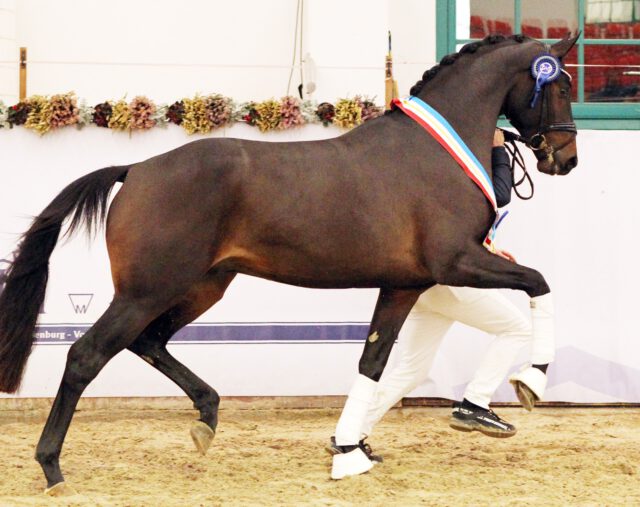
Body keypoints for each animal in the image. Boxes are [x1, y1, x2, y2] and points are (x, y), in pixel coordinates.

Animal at [0, 33, 578, 492]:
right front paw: (533, 381)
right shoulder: (457, 262)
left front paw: (350, 453)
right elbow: (539, 282)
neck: (435, 151)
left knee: (149, 341)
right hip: (147, 291)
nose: (566, 158)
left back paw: (207, 416)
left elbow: (373, 363)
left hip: (202, 287)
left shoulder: (404, 286)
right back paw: (52, 468)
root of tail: (136, 169)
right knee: (87, 355)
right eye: (561, 85)